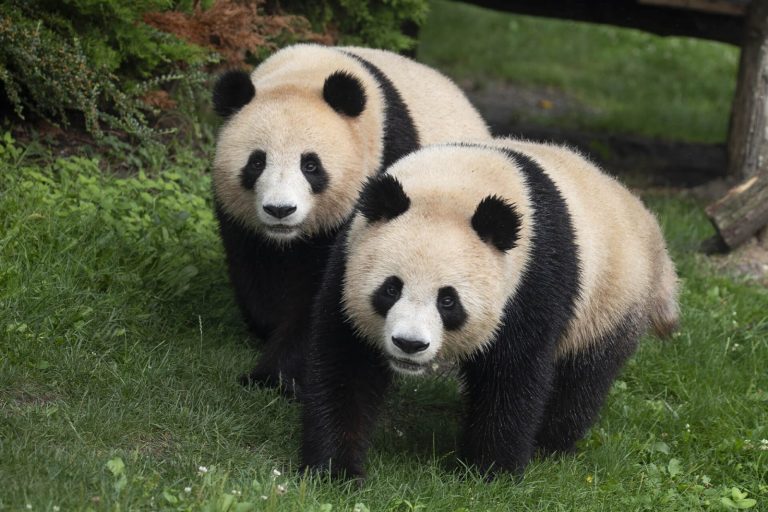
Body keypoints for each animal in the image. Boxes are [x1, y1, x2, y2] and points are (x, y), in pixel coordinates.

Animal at [212, 45, 486, 396]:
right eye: (257, 162)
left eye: (310, 165)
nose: (280, 210)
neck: (306, 73)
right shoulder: (241, 221)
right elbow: (255, 271)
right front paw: (266, 331)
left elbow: (325, 298)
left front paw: (274, 377)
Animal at [300, 138, 680, 478]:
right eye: (391, 289)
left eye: (448, 300)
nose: (410, 344)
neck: (454, 182)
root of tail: (647, 222)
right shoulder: (348, 257)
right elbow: (346, 363)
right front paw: (335, 469)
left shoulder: (532, 278)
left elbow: (513, 373)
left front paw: (488, 470)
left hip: (609, 299)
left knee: (582, 377)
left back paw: (549, 444)